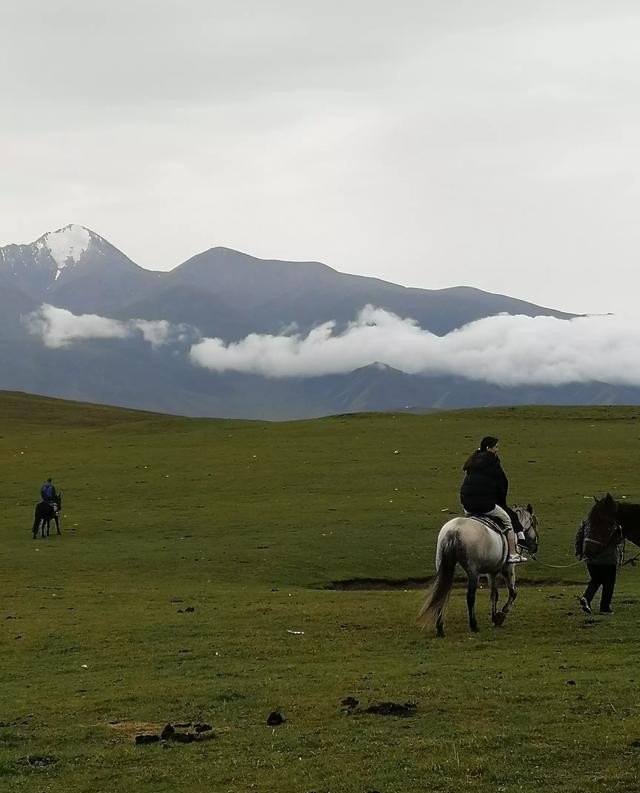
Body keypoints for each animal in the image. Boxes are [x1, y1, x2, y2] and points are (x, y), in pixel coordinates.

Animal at [418, 508, 536, 636]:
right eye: (534, 523)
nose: (535, 547)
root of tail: (455, 530)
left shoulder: (491, 572)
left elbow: (494, 594)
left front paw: (494, 617)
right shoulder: (508, 569)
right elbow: (513, 593)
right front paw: (501, 615)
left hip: (442, 565)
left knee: (441, 593)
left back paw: (440, 628)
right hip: (473, 572)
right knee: (470, 596)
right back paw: (473, 625)